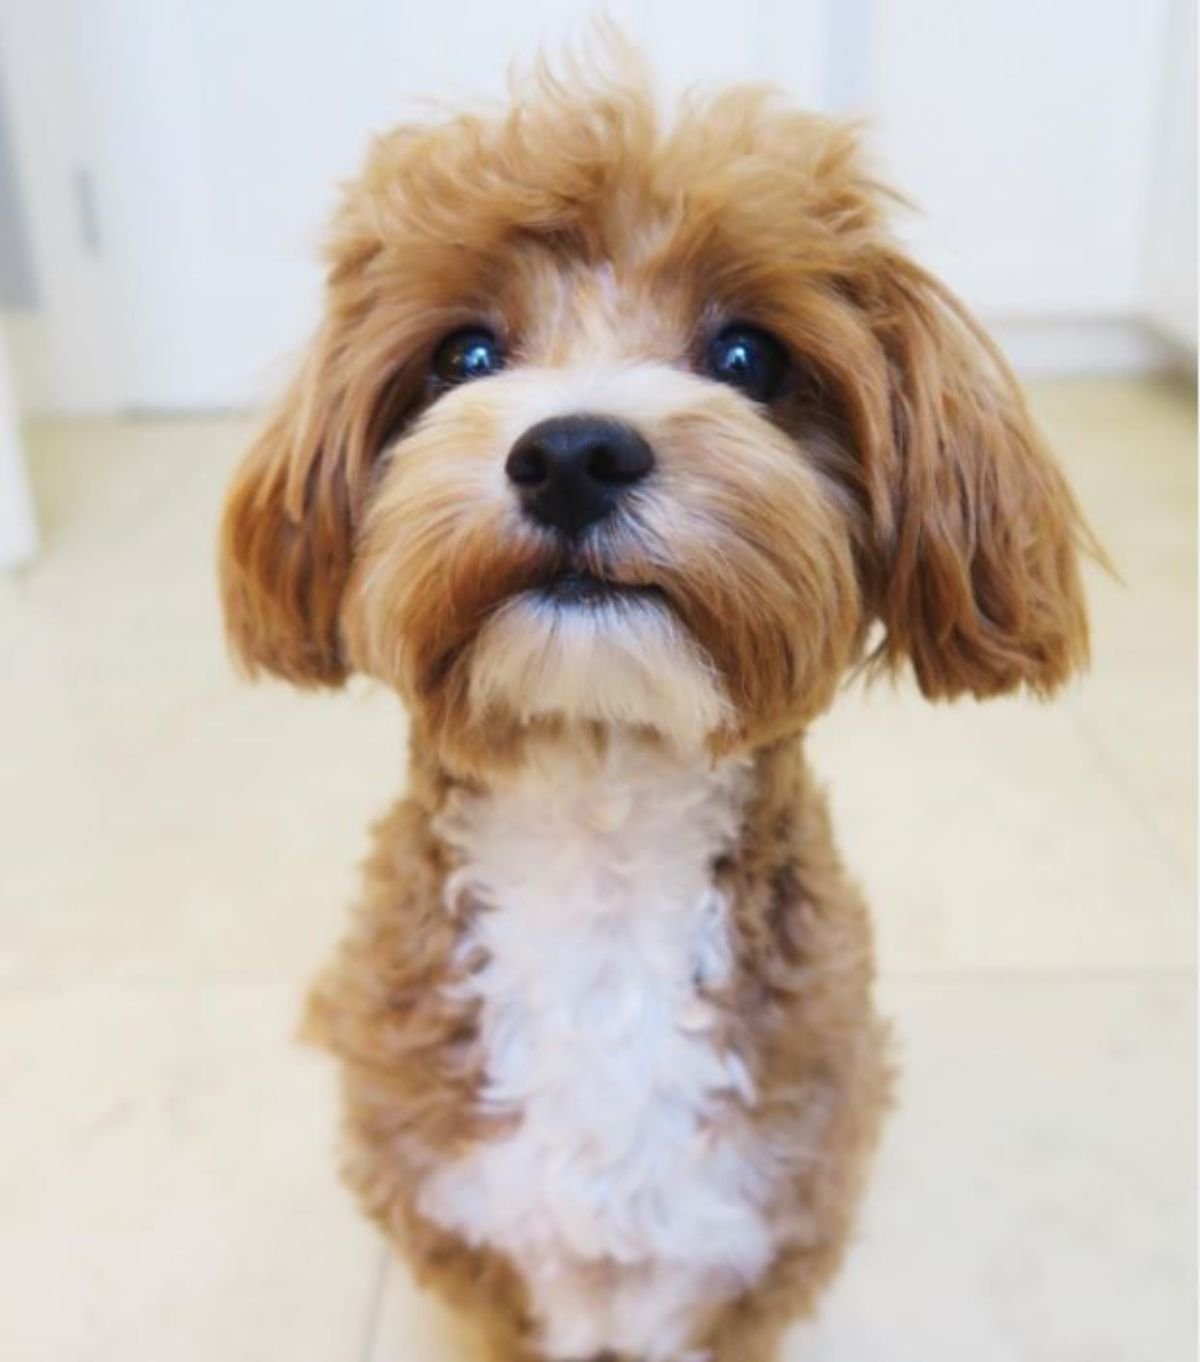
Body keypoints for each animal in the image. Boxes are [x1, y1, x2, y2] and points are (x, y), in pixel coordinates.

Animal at [220, 48, 1089, 1362]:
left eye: (748, 359)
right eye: (464, 356)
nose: (574, 453)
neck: (603, 841)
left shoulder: (759, 1243)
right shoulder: (473, 1244)